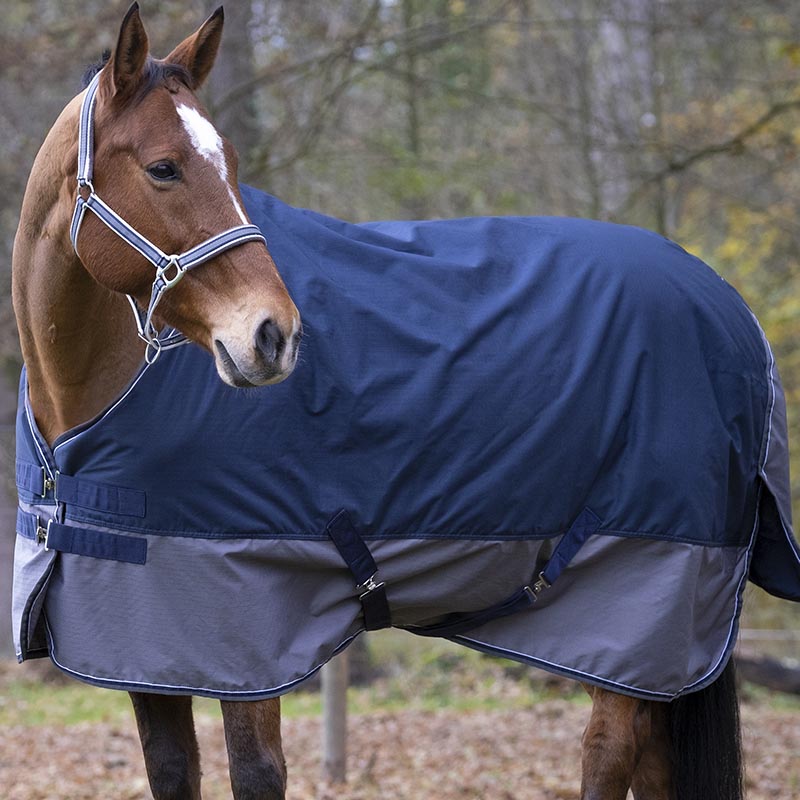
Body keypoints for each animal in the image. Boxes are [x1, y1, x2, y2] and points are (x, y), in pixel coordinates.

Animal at [14, 4, 797, 800]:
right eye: (163, 168)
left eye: (229, 164)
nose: (274, 335)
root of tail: (733, 314)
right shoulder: (144, 645)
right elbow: (172, 769)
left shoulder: (250, 637)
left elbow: (256, 772)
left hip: (632, 611)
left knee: (608, 753)